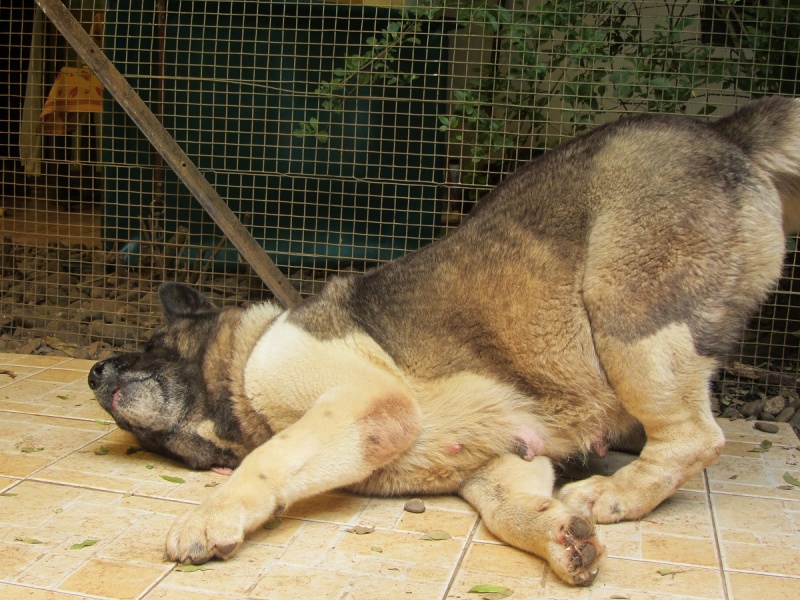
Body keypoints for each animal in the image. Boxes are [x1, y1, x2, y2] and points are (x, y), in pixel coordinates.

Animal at [87, 97, 800, 584]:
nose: (94, 372)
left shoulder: (366, 405)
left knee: (694, 437)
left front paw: (210, 516)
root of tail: (724, 131)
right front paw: (561, 537)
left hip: (628, 319)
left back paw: (615, 494)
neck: (243, 369)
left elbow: (266, 460)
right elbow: (510, 511)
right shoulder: (505, 460)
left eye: (153, 344)